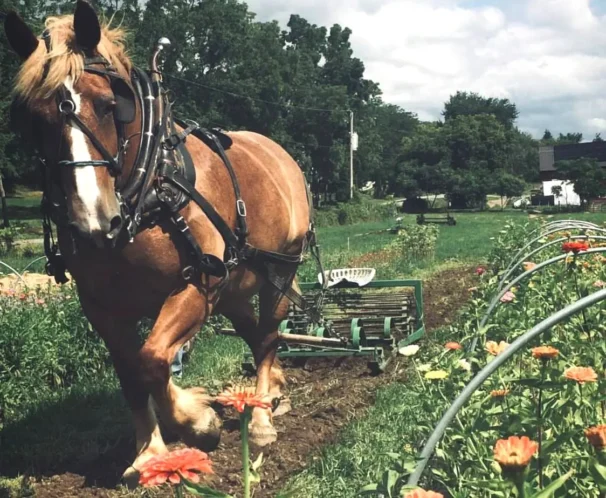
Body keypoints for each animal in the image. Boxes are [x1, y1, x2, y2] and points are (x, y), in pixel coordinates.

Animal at [2, 0, 312, 484]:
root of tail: (281, 156)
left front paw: (199, 423)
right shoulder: (102, 305)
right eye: (33, 118)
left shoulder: (198, 283)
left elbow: (152, 359)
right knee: (256, 334)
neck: (148, 187)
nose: (93, 223)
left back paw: (261, 418)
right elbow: (133, 373)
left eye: (110, 105)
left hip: (279, 272)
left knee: (267, 338)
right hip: (233, 289)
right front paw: (149, 453)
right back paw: (270, 397)